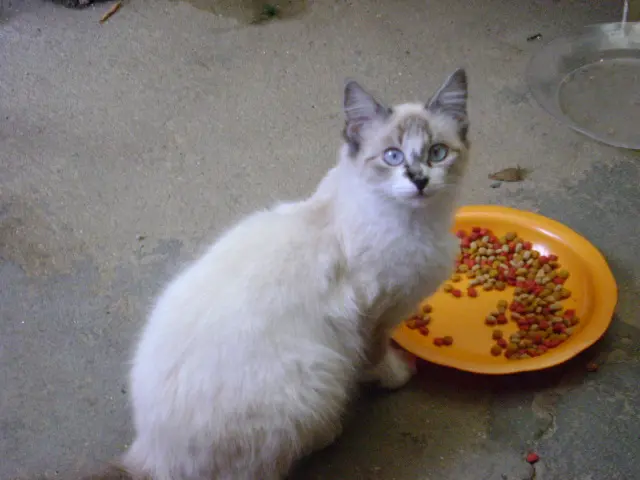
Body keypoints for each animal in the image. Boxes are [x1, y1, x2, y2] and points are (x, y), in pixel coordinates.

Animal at [82, 68, 470, 480]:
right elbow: (378, 358)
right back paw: (327, 433)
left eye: (437, 153)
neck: (417, 222)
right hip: (314, 379)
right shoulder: (375, 316)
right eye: (392, 157)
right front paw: (400, 374)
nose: (419, 181)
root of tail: (150, 452)